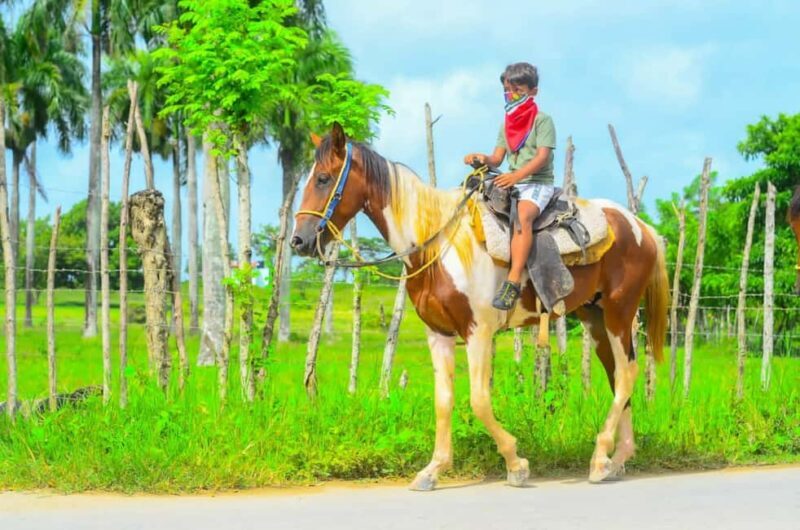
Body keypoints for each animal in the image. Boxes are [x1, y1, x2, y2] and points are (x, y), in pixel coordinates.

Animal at [292, 122, 669, 490]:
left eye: (323, 178)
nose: (299, 240)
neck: (436, 243)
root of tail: (642, 227)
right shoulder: (439, 334)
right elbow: (444, 400)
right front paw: (432, 471)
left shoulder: (478, 331)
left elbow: (478, 399)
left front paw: (516, 464)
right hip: (595, 317)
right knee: (616, 375)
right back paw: (616, 460)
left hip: (620, 312)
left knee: (627, 374)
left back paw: (601, 457)